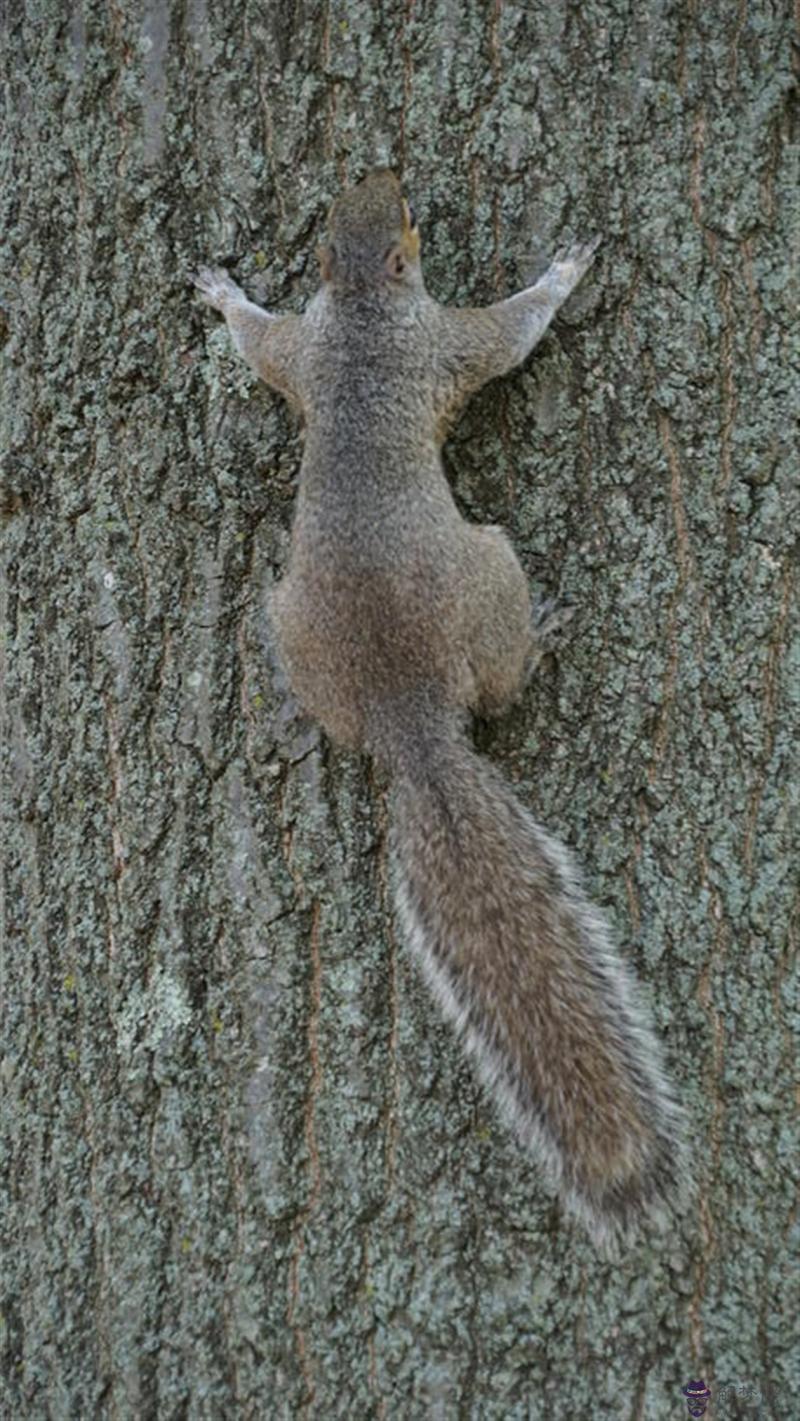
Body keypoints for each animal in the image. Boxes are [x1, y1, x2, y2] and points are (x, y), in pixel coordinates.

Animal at [191, 171, 682, 1250]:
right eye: (407, 219)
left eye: (362, 201)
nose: (386, 171)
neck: (364, 311)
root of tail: (406, 722)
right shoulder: (447, 341)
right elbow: (511, 333)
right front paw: (563, 269)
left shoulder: (305, 346)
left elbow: (261, 343)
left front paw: (222, 294)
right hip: (490, 567)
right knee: (500, 676)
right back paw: (544, 634)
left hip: (295, 631)